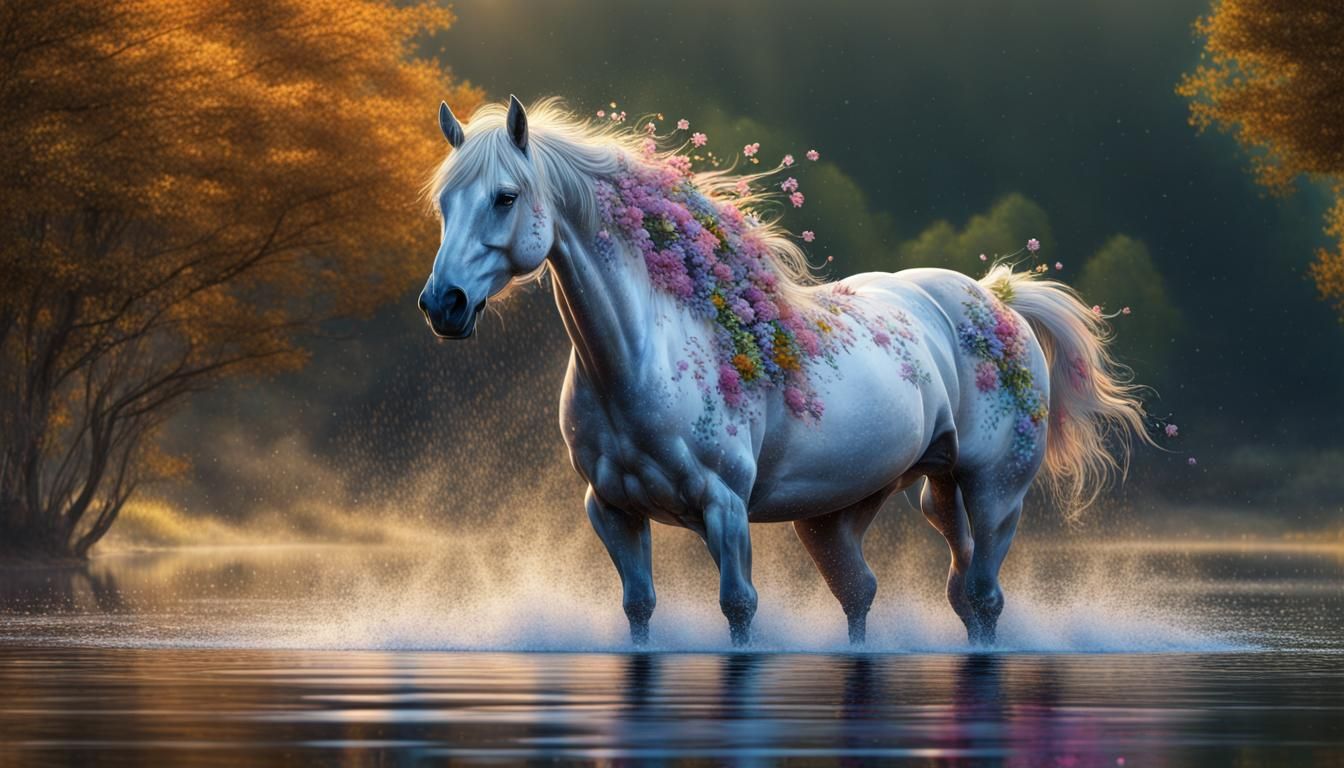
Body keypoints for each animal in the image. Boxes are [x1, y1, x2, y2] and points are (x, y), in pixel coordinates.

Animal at [419, 95, 1149, 647]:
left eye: (505, 197)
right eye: (444, 204)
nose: (442, 304)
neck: (645, 359)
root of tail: (994, 301)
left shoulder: (724, 508)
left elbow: (739, 608)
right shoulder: (612, 511)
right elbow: (639, 609)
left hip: (993, 493)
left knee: (983, 598)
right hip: (873, 507)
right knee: (882, 595)